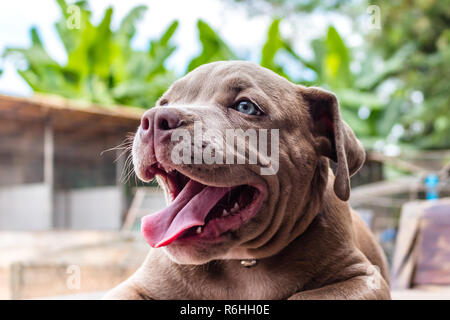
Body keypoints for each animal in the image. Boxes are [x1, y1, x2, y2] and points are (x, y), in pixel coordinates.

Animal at [104, 60, 390, 300]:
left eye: (245, 107)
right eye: (163, 103)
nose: (154, 118)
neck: (245, 261)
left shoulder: (363, 278)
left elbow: (305, 296)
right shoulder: (135, 285)